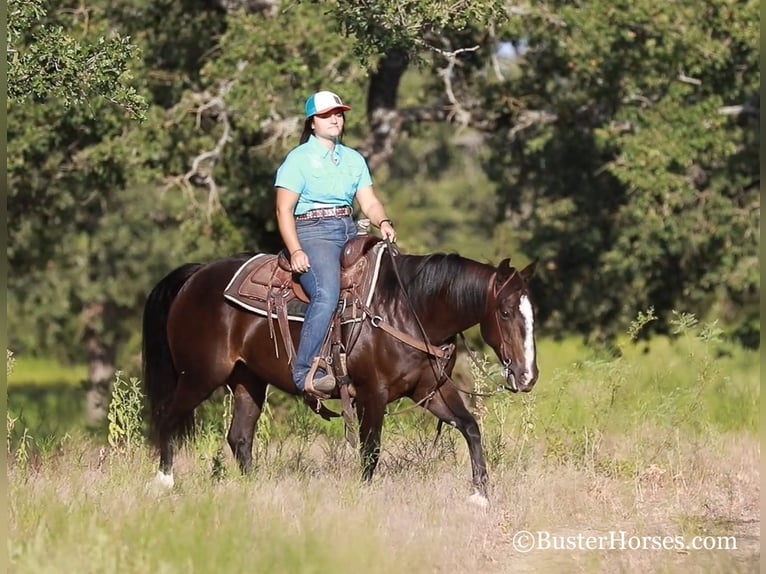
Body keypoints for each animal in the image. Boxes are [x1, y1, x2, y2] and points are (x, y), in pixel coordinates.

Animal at [144, 244, 540, 508]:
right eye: (505, 312)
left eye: (531, 311)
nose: (527, 376)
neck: (409, 310)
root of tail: (196, 275)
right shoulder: (371, 394)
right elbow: (371, 450)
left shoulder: (432, 390)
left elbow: (470, 428)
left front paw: (479, 498)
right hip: (198, 375)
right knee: (168, 417)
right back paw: (164, 481)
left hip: (248, 381)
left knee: (239, 437)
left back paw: (254, 491)